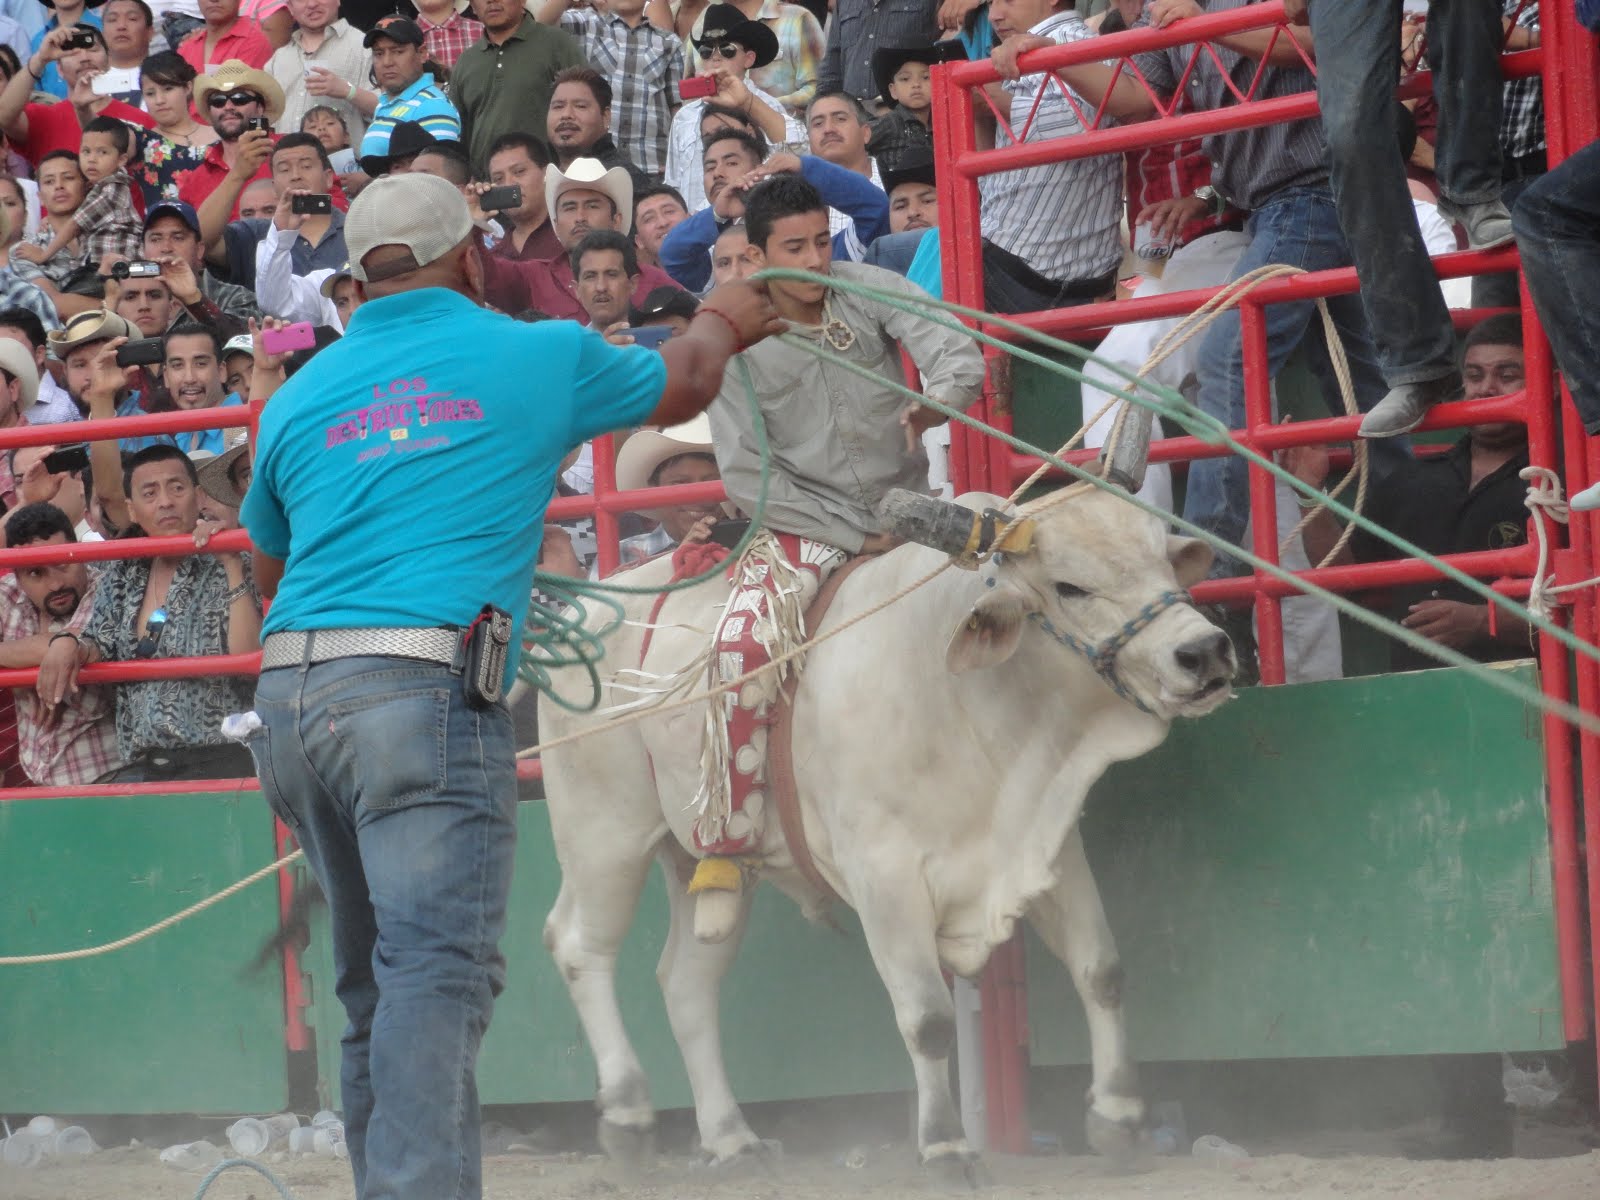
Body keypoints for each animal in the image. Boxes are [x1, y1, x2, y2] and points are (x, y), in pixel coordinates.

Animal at [540, 483, 1235, 1177]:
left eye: (1164, 562)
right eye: (1071, 587)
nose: (1204, 651)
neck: (965, 701)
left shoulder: (1047, 846)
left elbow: (1101, 972)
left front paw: (1119, 1117)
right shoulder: (885, 875)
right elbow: (927, 1017)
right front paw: (946, 1145)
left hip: (703, 864)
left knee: (686, 985)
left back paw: (731, 1136)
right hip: (604, 833)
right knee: (580, 947)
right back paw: (628, 1114)